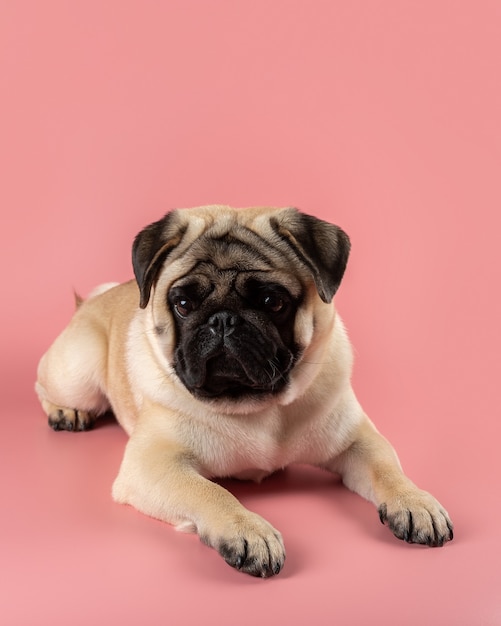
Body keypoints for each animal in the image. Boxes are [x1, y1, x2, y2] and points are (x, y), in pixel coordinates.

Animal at [33, 205, 452, 576]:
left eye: (272, 302)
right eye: (183, 304)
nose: (222, 319)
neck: (255, 405)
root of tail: (92, 300)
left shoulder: (358, 441)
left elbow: (388, 469)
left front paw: (415, 502)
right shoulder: (153, 465)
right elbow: (210, 492)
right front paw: (248, 531)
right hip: (77, 372)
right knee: (45, 383)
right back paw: (67, 413)